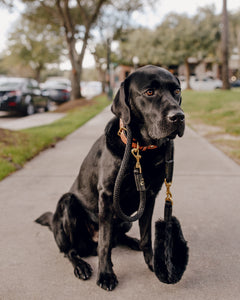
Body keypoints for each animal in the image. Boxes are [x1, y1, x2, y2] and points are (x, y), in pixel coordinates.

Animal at [36, 65, 186, 290]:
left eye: (176, 91)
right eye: (149, 92)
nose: (178, 117)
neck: (141, 151)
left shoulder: (150, 195)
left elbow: (146, 237)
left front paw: (153, 263)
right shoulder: (107, 196)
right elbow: (105, 243)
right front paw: (106, 274)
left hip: (125, 220)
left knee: (119, 237)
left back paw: (132, 242)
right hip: (67, 203)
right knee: (71, 251)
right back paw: (81, 266)